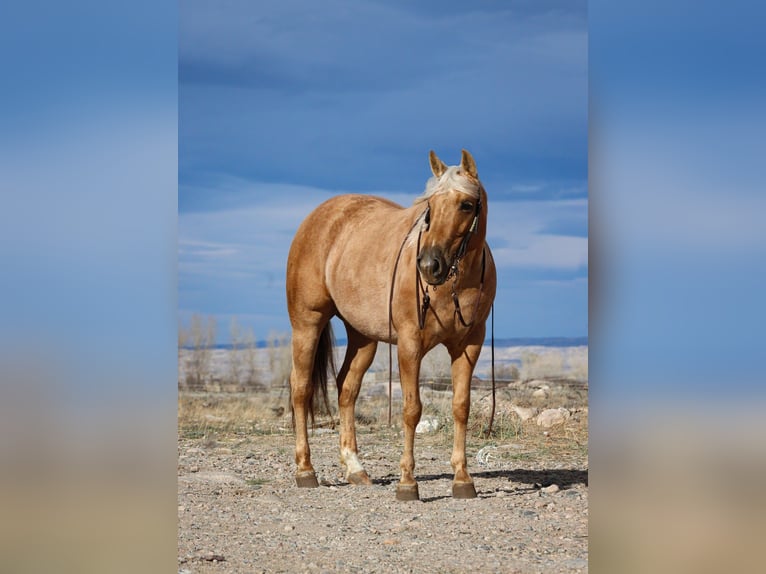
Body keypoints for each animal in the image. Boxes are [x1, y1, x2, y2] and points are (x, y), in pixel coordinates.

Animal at [286, 149, 496, 501]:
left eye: (466, 205)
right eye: (429, 205)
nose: (429, 265)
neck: (453, 285)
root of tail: (319, 216)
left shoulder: (469, 345)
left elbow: (460, 407)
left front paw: (463, 479)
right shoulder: (410, 345)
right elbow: (411, 410)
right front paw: (407, 483)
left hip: (363, 338)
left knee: (346, 389)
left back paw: (355, 468)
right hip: (307, 324)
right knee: (301, 389)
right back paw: (305, 470)